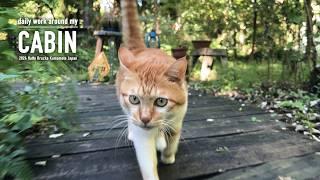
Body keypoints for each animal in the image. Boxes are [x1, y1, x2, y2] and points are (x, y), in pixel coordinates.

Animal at [116, 0, 188, 179]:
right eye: (134, 99)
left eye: (161, 101)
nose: (145, 119)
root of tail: (141, 49)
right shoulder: (143, 136)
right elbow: (148, 163)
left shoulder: (177, 122)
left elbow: (172, 141)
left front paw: (168, 156)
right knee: (129, 119)